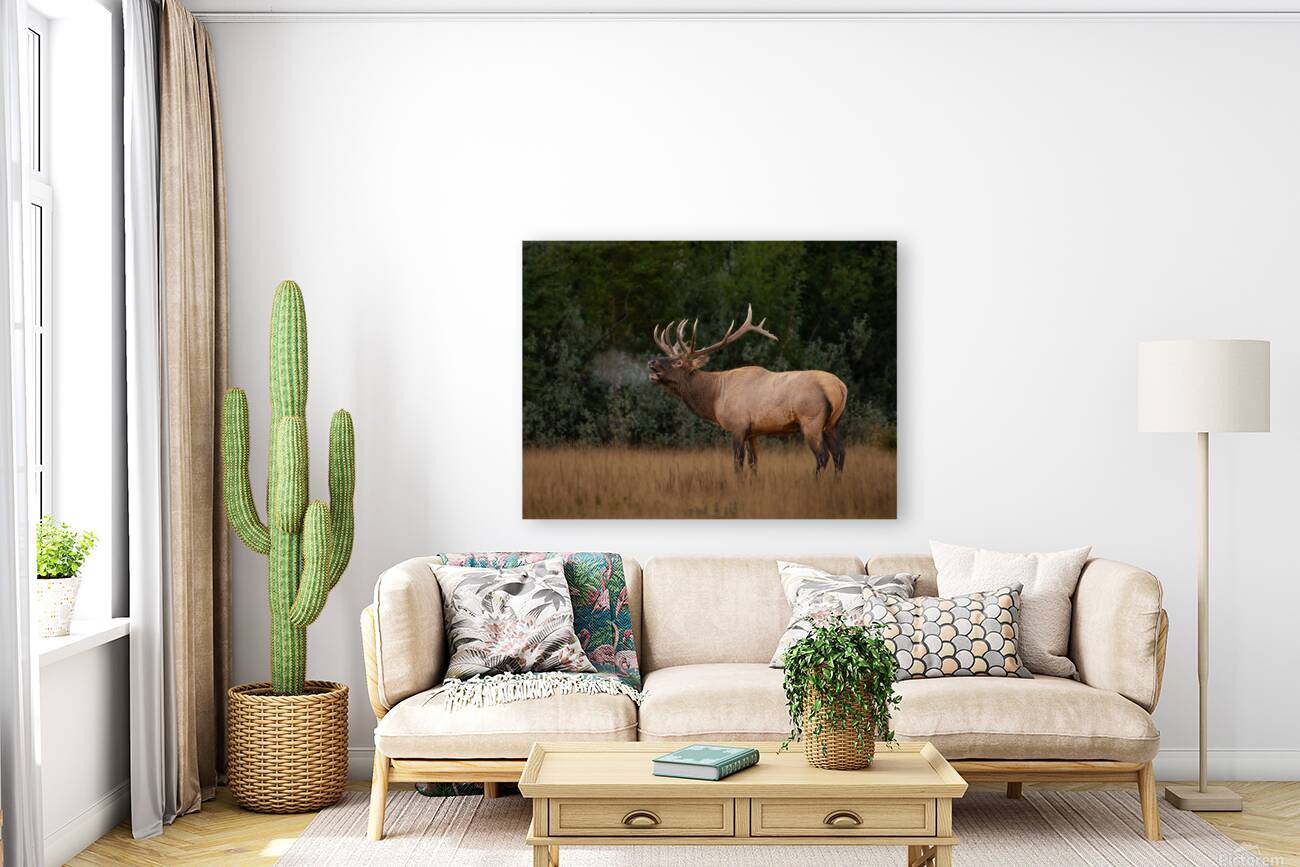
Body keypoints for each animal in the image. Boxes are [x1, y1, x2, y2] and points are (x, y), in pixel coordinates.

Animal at [647, 305, 848, 475]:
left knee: (823, 456)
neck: (714, 398)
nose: (651, 362)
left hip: (811, 420)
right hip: (832, 423)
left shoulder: (738, 425)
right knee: (840, 454)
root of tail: (839, 387)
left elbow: (738, 464)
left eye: (678, 362)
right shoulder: (754, 432)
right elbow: (754, 463)